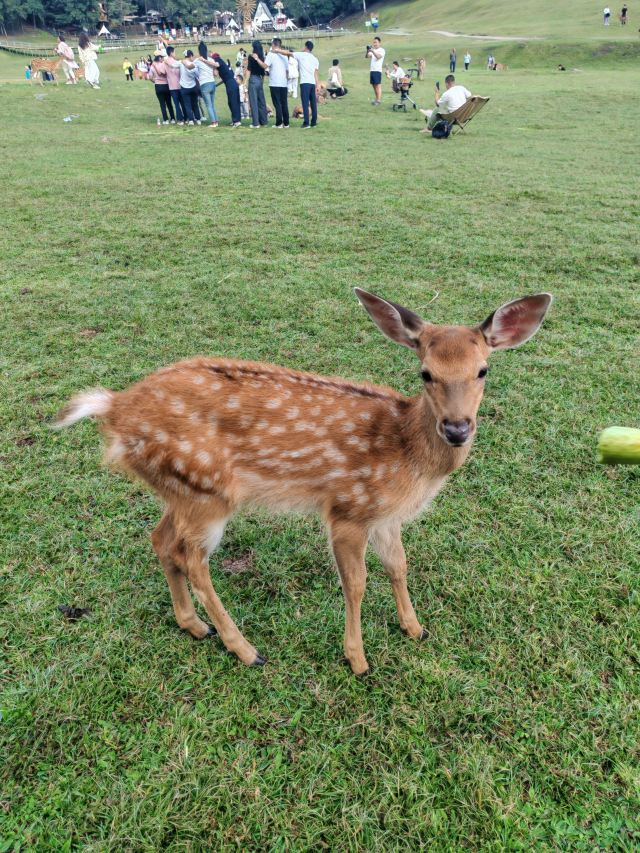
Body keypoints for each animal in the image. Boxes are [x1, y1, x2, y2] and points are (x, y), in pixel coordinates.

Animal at [54, 289, 552, 675]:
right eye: (425, 372)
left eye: (483, 370)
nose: (457, 428)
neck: (407, 455)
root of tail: (113, 410)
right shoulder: (348, 508)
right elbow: (356, 583)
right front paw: (358, 660)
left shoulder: (386, 515)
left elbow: (399, 565)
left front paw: (415, 628)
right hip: (207, 490)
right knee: (191, 558)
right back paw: (245, 649)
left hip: (179, 489)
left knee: (159, 538)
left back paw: (193, 625)